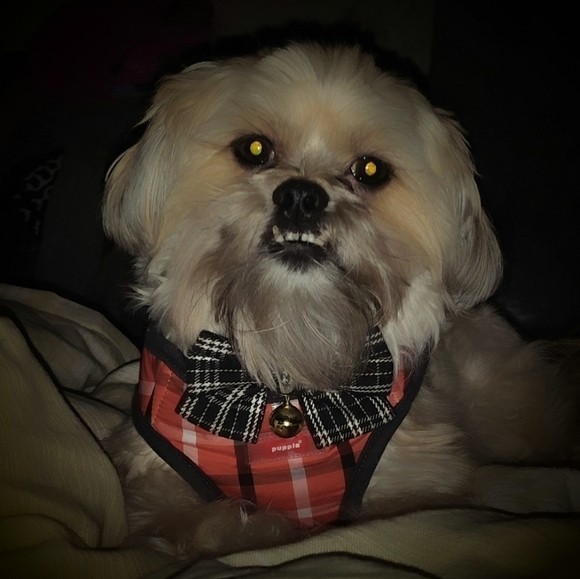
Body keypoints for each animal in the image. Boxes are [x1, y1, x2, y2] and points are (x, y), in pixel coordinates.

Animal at [102, 42, 579, 558]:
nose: (301, 196)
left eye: (370, 170)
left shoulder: (416, 477)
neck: (291, 359)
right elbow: (217, 524)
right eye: (254, 148)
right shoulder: (160, 488)